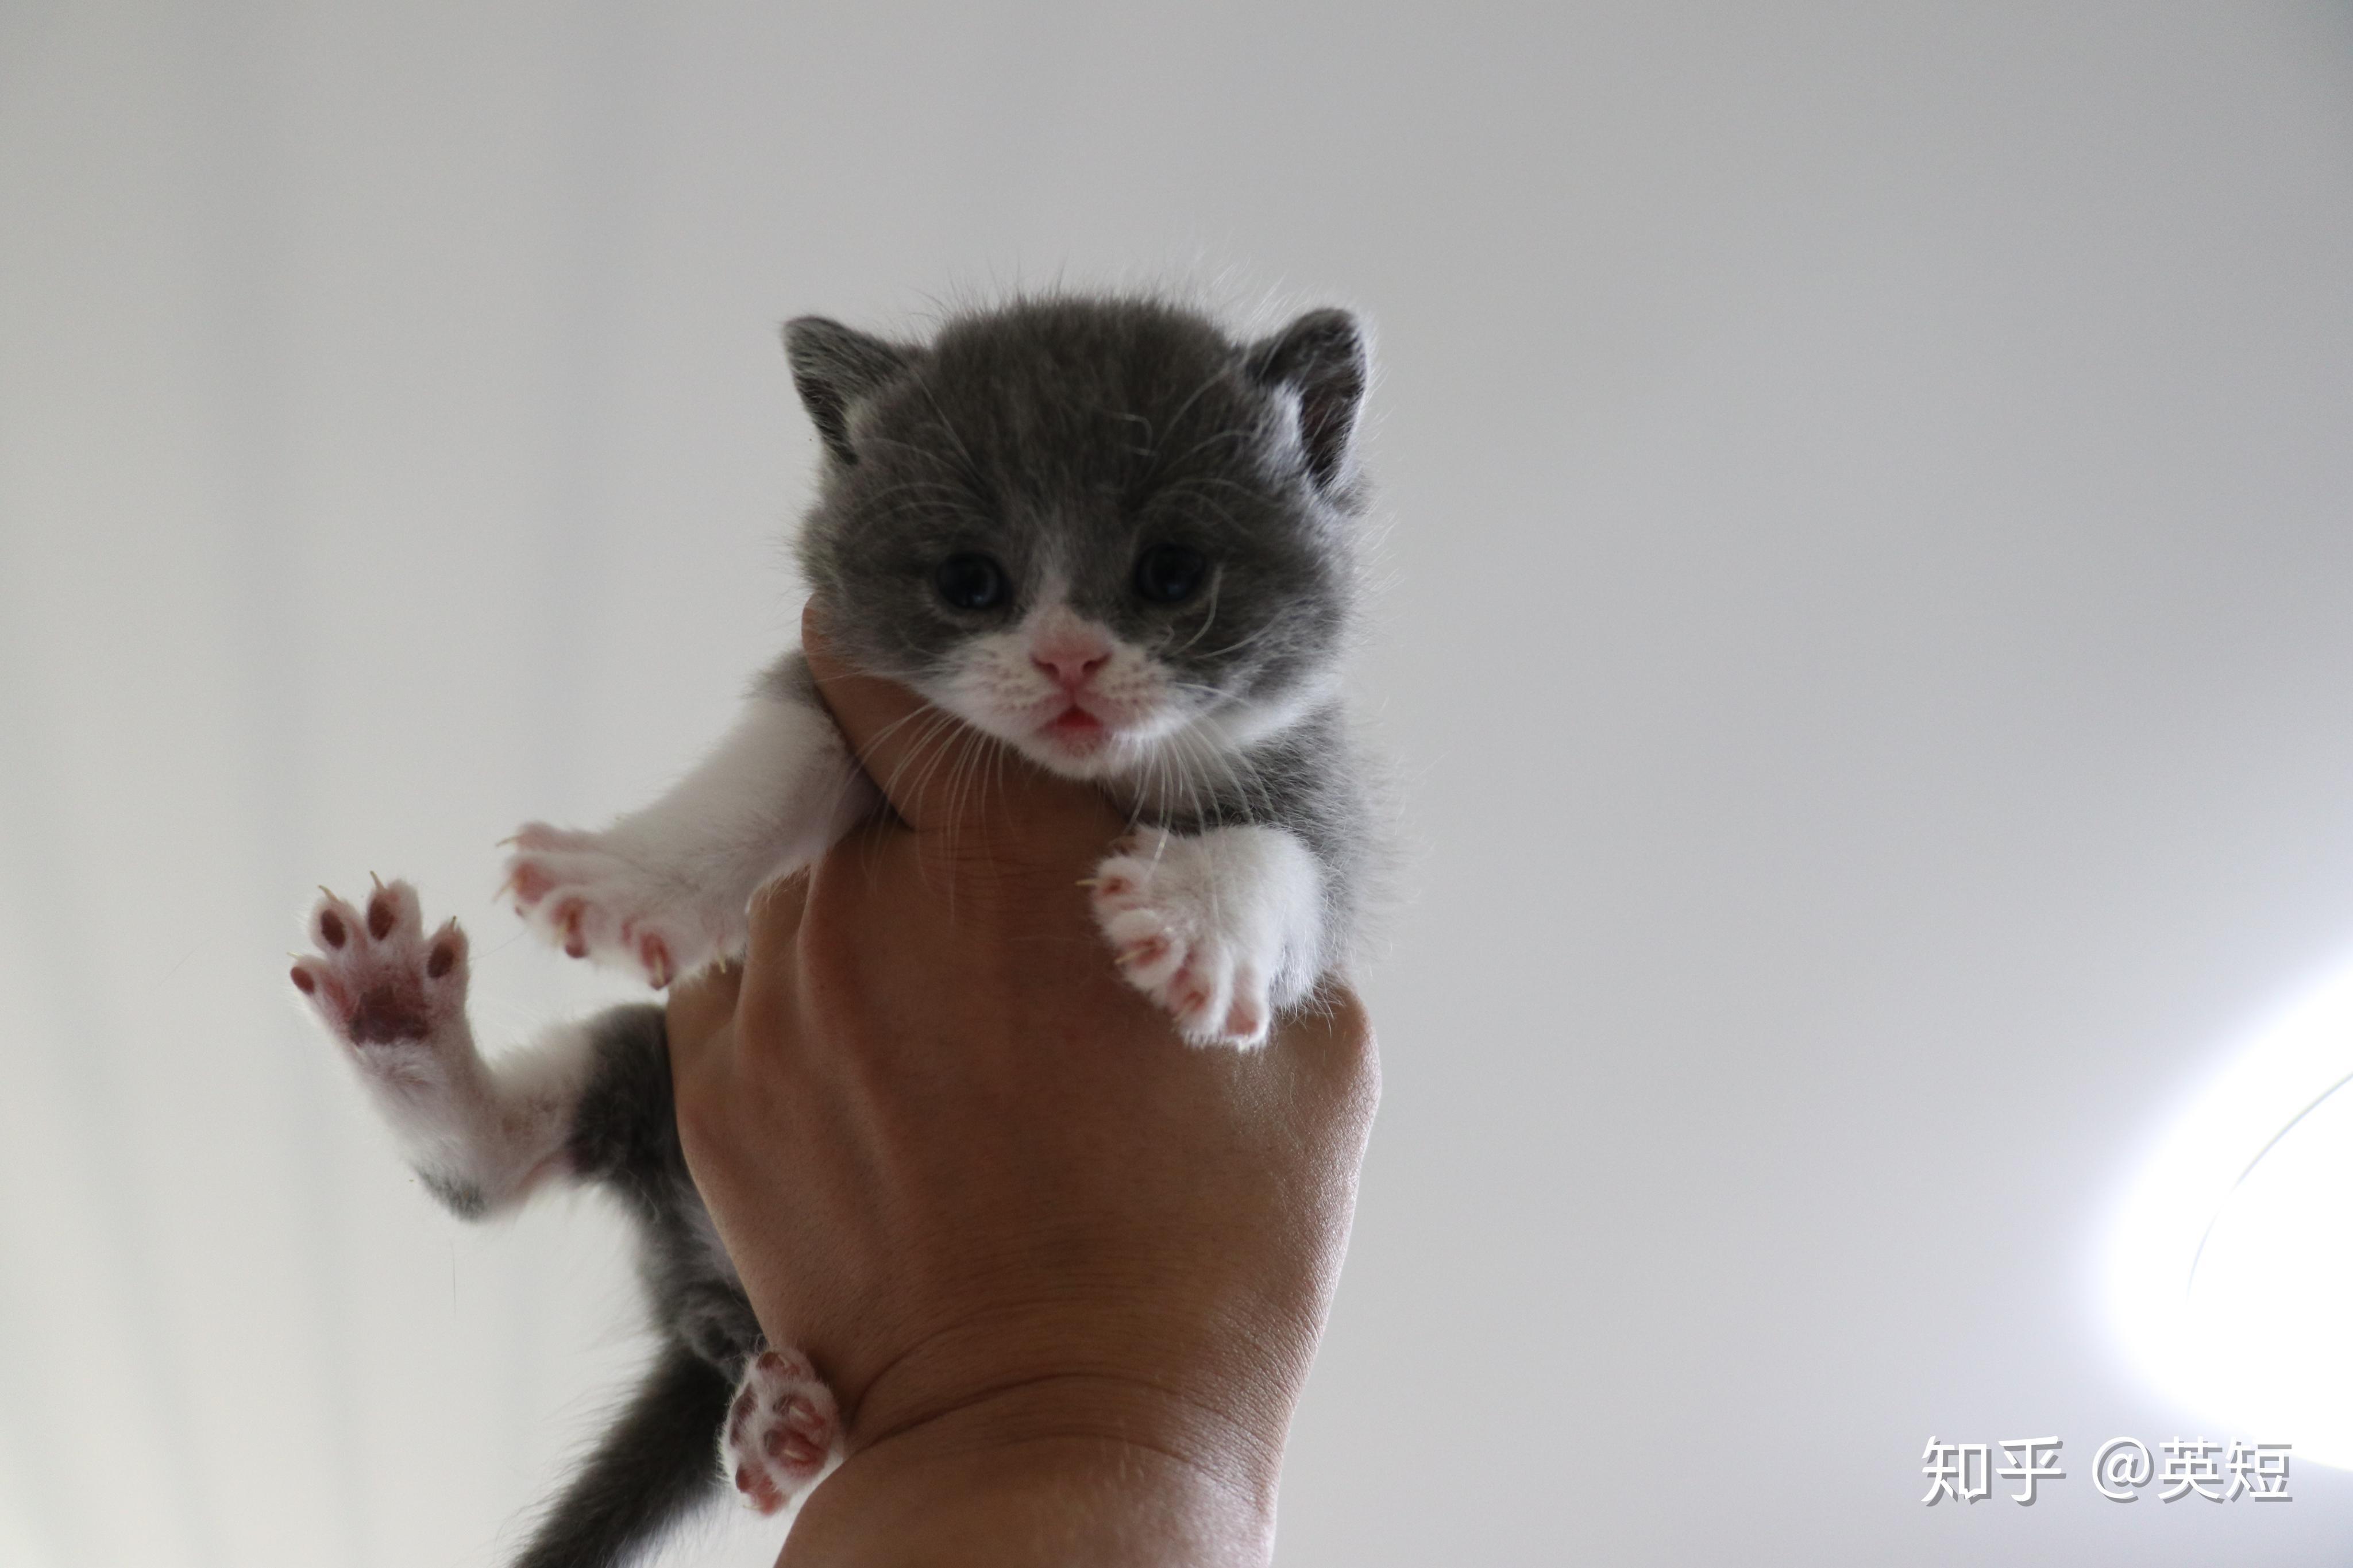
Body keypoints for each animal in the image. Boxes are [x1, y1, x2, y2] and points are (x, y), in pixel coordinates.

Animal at [291, 297, 1374, 1568]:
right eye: (971, 581)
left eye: (1170, 573)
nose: (1068, 657)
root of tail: (706, 1293)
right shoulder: (832, 697)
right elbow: (781, 755)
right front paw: (637, 879)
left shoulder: (1328, 798)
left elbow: (1287, 855)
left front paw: (1201, 921)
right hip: (652, 1067)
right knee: (487, 1168)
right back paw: (396, 1015)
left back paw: (773, 1425)